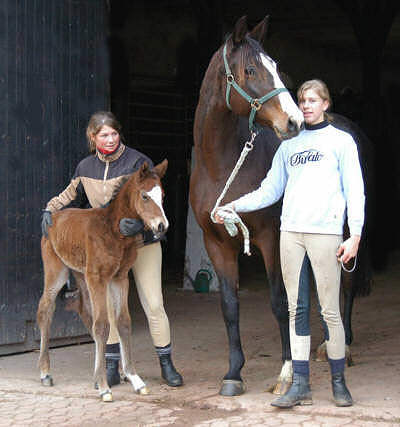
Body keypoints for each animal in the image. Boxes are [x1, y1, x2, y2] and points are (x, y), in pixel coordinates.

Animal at [36, 159, 168, 402]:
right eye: (145, 196)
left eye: (162, 195)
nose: (162, 226)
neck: (114, 230)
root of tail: (54, 216)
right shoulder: (98, 277)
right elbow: (103, 326)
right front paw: (105, 387)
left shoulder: (120, 278)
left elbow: (123, 322)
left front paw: (133, 378)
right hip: (57, 271)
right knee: (45, 310)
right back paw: (45, 373)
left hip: (81, 274)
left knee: (85, 311)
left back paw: (102, 374)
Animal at [190, 16, 304, 398]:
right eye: (251, 70)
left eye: (277, 67)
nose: (294, 122)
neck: (222, 164)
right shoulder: (216, 242)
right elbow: (229, 305)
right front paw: (233, 374)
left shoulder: (270, 237)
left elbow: (279, 300)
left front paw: (286, 372)